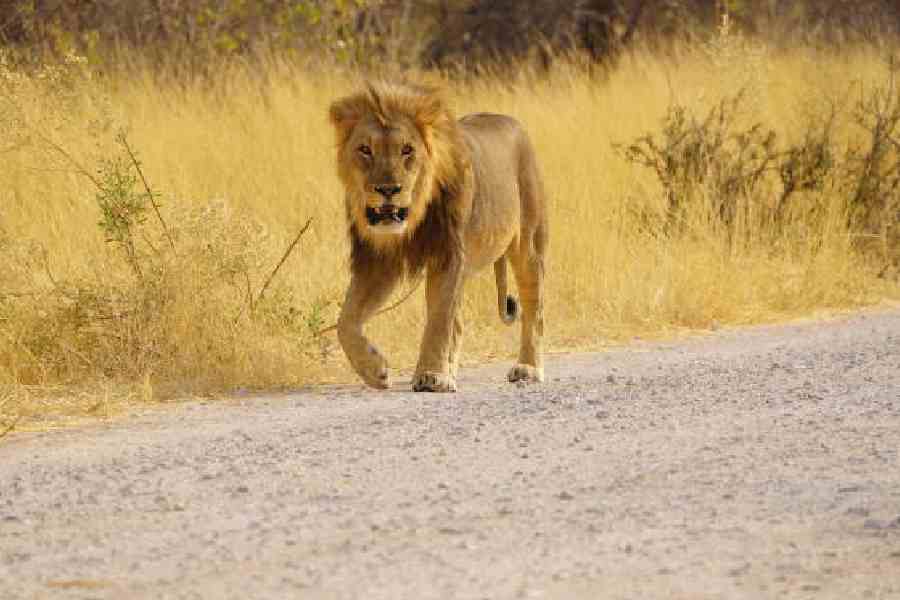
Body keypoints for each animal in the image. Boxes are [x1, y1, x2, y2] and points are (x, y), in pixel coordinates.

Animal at [329, 81, 548, 392]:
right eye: (365, 149)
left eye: (407, 149)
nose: (388, 189)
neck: (413, 218)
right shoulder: (377, 263)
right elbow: (345, 321)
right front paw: (375, 370)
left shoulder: (448, 255)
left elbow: (439, 319)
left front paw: (432, 375)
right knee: (459, 323)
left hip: (528, 244)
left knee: (533, 308)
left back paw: (528, 368)